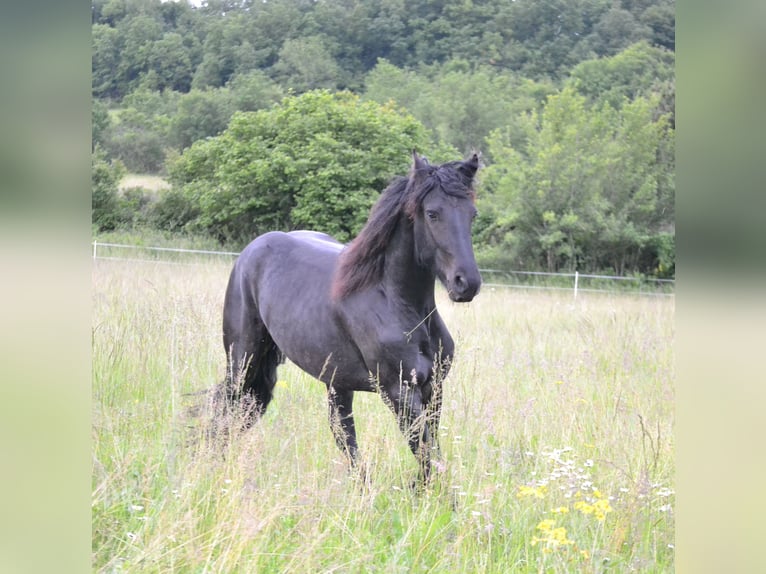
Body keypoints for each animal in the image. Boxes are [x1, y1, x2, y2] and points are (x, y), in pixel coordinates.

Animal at [220, 152, 480, 482]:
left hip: (335, 380)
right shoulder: (399, 392)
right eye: (433, 213)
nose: (466, 283)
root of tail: (252, 250)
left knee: (343, 435)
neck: (395, 303)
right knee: (229, 410)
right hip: (242, 361)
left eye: (472, 214)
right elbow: (425, 457)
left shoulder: (434, 388)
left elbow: (431, 457)